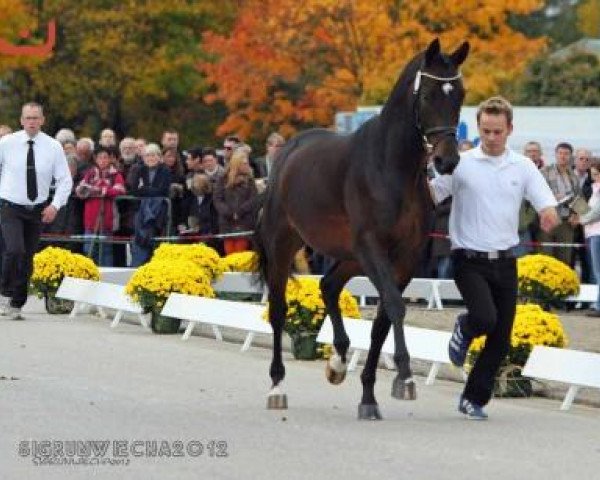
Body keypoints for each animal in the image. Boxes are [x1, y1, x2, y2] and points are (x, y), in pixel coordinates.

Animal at [253, 38, 468, 420]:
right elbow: (395, 306)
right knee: (278, 310)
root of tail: (286, 154)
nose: (447, 161)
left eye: (459, 94)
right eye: (428, 95)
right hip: (284, 246)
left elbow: (382, 320)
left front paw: (369, 396)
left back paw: (338, 361)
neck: (391, 167)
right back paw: (277, 386)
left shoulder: (404, 259)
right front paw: (405, 376)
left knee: (327, 285)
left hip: (351, 255)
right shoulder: (372, 247)